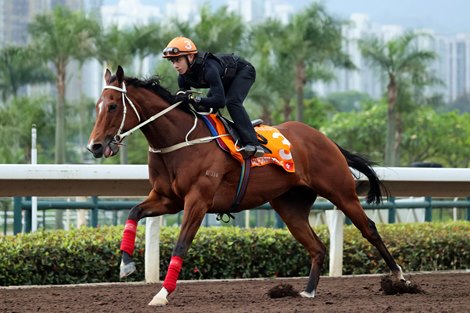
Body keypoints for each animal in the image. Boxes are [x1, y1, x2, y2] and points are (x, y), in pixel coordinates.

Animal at [87, 64, 408, 306]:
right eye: (97, 106)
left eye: (113, 106)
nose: (95, 146)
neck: (181, 142)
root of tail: (326, 139)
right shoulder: (167, 199)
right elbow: (133, 213)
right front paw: (126, 265)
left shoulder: (197, 202)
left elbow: (181, 244)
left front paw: (162, 293)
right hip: (290, 206)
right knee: (316, 246)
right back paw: (308, 290)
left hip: (340, 192)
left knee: (369, 229)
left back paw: (399, 277)